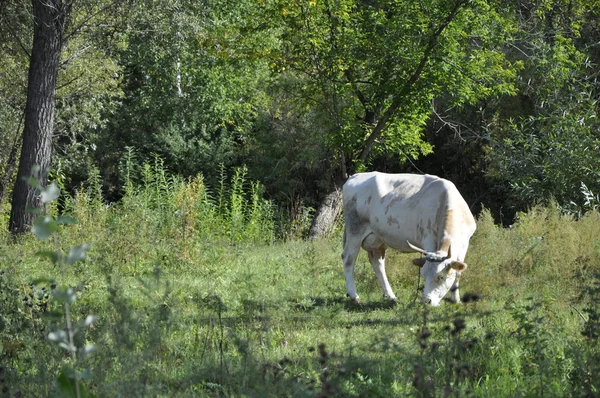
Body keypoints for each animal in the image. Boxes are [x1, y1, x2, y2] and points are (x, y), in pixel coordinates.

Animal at [342, 173, 478, 306]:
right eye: (423, 275)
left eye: (440, 277)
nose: (425, 301)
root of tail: (355, 176)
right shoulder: (429, 240)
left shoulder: (465, 243)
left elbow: (458, 273)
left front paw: (456, 300)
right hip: (354, 229)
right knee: (348, 259)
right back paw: (354, 296)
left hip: (377, 238)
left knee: (377, 262)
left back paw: (390, 296)